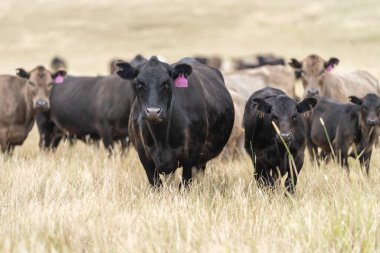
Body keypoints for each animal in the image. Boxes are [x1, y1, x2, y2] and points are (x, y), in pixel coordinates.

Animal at [116, 56, 235, 187]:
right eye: (139, 83)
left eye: (166, 83)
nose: (153, 112)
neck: (161, 139)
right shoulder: (143, 155)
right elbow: (156, 184)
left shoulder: (192, 153)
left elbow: (184, 184)